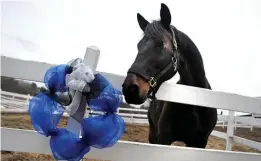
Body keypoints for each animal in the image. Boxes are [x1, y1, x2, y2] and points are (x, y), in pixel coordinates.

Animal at [122, 3, 217, 148]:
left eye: (161, 44)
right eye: (139, 46)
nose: (130, 88)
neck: (194, 99)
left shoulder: (199, 143)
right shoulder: (164, 139)